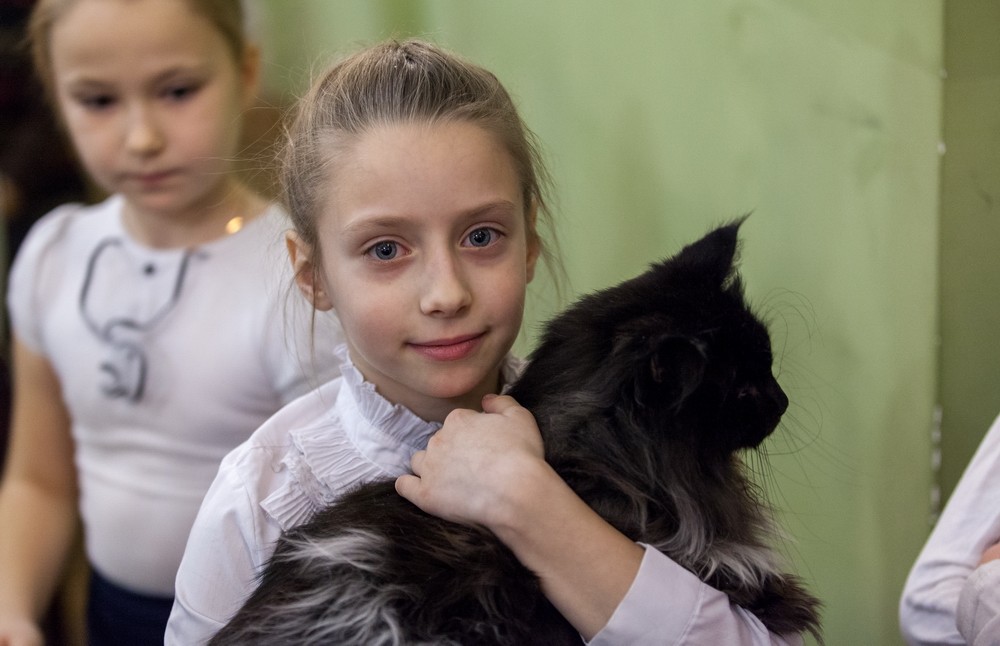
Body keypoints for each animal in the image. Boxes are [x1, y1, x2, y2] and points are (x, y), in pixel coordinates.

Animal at [210, 218, 823, 645]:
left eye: (767, 363)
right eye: (743, 390)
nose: (783, 401)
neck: (584, 463)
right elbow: (731, 577)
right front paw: (790, 601)